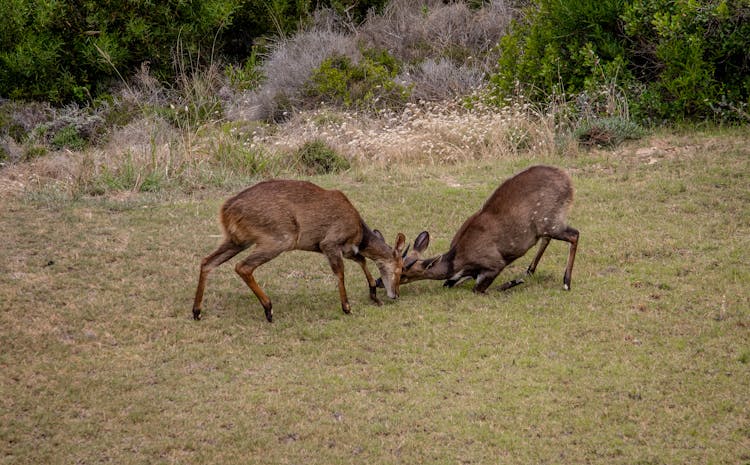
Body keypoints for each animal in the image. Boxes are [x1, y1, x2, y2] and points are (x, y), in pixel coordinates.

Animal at [191, 179, 408, 320]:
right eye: (400, 269)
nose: (395, 294)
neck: (360, 233)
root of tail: (225, 211)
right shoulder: (329, 243)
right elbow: (341, 272)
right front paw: (347, 307)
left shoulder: (344, 248)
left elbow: (361, 260)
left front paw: (373, 295)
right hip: (279, 239)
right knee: (242, 266)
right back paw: (269, 309)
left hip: (236, 240)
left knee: (207, 261)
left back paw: (196, 311)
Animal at [382, 165, 580, 292]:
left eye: (402, 273)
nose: (379, 283)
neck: (459, 260)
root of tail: (569, 183)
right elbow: (449, 284)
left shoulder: (494, 263)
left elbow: (479, 289)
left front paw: (514, 282)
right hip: (547, 224)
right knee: (548, 238)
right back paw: (530, 270)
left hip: (551, 221)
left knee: (575, 234)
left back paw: (566, 283)